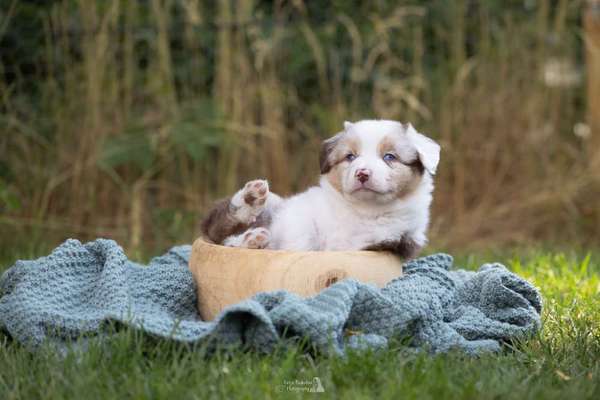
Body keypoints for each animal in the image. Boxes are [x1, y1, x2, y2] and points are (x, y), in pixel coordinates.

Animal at [202, 119, 440, 260]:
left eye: (389, 157)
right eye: (350, 156)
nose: (362, 173)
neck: (363, 210)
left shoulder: (392, 241)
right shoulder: (303, 210)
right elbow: (303, 234)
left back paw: (255, 239)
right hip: (270, 205)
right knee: (219, 228)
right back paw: (251, 201)